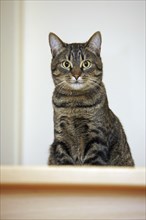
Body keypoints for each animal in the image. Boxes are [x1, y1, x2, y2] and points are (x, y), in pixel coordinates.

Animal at [48, 30, 135, 165]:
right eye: (66, 64)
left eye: (86, 63)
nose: (76, 75)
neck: (74, 102)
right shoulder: (61, 138)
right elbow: (65, 163)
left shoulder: (96, 138)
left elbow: (92, 163)